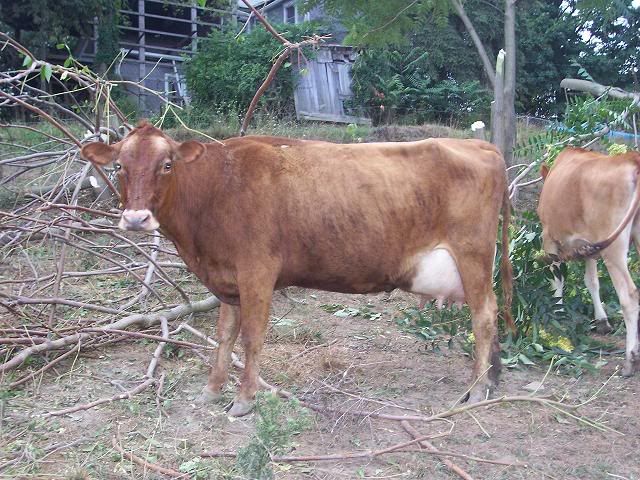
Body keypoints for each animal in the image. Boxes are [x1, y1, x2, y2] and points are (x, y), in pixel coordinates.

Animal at [81, 121, 513, 416]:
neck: (218, 187)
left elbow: (252, 337)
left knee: (484, 316)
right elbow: (224, 335)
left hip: (472, 255)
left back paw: (477, 390)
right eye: (119, 166)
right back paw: (492, 380)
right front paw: (212, 389)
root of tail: (479, 144)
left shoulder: (257, 272)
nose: (136, 219)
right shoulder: (227, 279)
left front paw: (244, 399)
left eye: (167, 164)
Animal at [538, 147, 640, 377]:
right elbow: (592, 281)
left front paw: (558, 311)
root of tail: (632, 159)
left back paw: (631, 359)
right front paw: (602, 320)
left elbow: (557, 277)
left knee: (629, 296)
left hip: (614, 248)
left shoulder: (549, 238)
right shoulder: (588, 247)